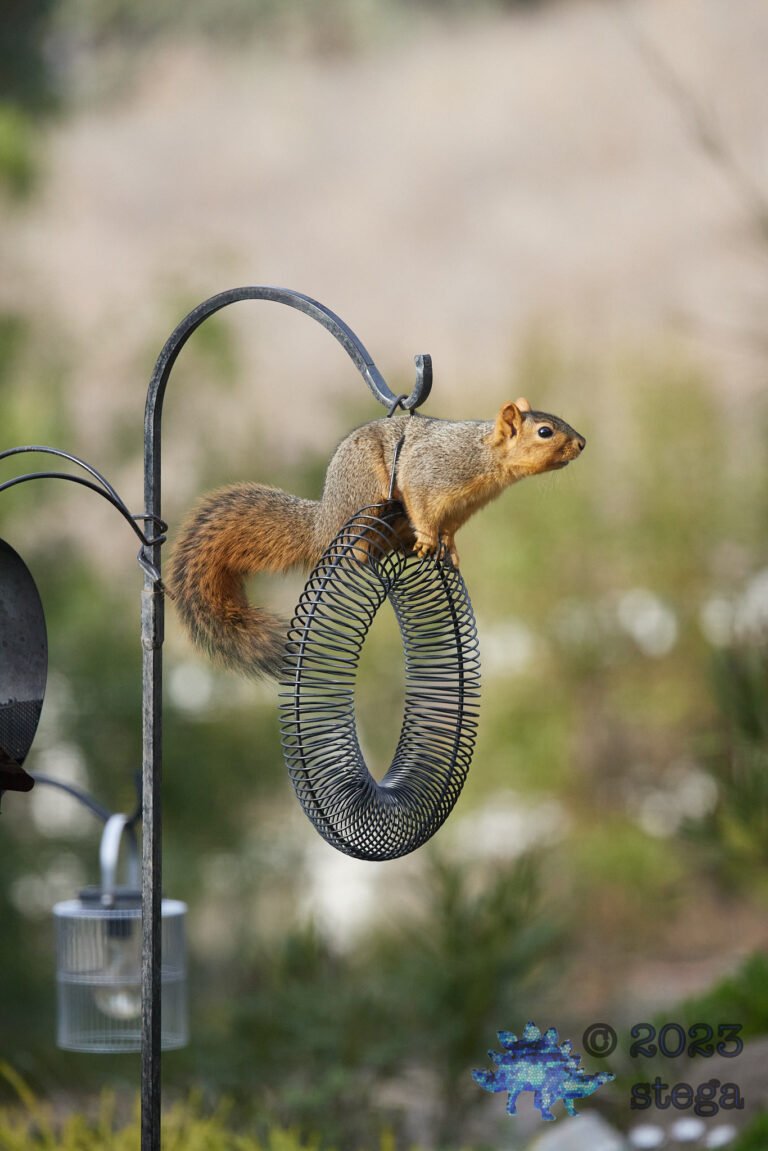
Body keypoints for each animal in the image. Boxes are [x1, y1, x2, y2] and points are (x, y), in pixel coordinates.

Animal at [166, 397, 585, 679]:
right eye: (545, 432)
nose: (582, 443)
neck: (487, 460)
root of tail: (324, 522)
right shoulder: (429, 476)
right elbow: (422, 508)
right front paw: (429, 541)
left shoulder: (462, 509)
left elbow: (449, 530)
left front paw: (449, 549)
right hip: (367, 497)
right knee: (357, 541)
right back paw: (365, 552)